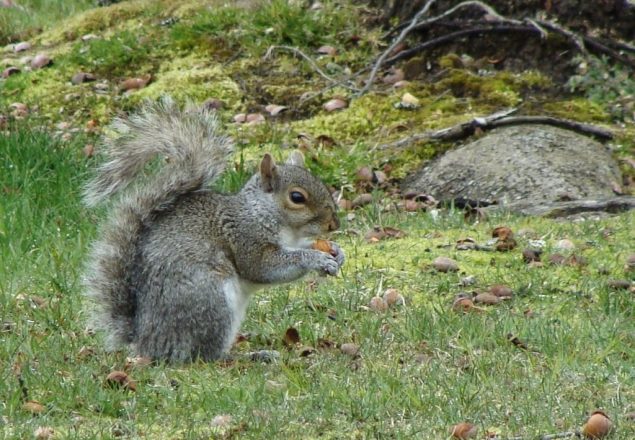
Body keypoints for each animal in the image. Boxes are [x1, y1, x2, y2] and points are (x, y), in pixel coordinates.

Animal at [83, 98, 348, 362]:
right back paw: (249, 356)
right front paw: (315, 259)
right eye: (297, 197)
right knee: (204, 356)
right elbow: (264, 267)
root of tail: (145, 341)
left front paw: (336, 251)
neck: (264, 213)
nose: (334, 224)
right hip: (211, 300)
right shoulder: (245, 237)